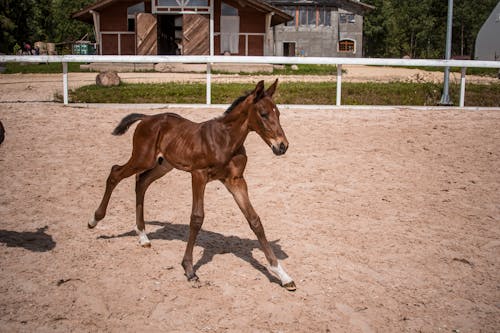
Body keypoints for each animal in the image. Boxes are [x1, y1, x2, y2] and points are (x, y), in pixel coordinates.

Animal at [89, 79, 294, 290]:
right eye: (263, 114)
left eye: (278, 113)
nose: (282, 146)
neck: (226, 140)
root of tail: (147, 118)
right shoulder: (198, 175)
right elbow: (197, 218)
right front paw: (189, 269)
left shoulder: (236, 180)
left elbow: (254, 220)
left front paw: (283, 275)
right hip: (142, 158)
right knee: (115, 173)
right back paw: (95, 220)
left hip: (163, 165)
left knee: (141, 182)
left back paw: (143, 236)